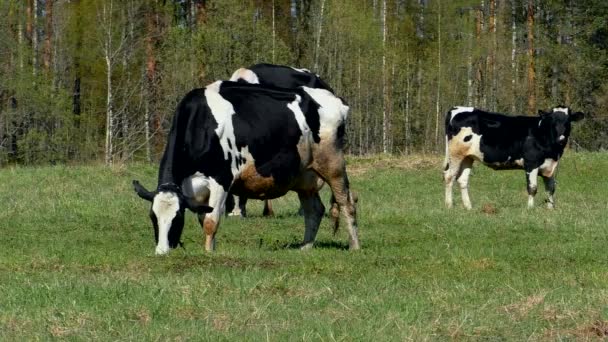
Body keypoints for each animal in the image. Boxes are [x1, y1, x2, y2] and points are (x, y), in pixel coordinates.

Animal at [134, 81, 360, 254]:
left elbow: (210, 221)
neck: (202, 123)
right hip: (304, 176)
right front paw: (211, 248)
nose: (162, 251)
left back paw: (354, 246)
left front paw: (208, 254)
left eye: (177, 217)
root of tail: (334, 99)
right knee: (314, 210)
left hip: (333, 165)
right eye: (153, 217)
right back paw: (305, 247)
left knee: (345, 202)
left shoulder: (221, 178)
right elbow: (203, 218)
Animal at [444, 105, 580, 210]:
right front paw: (530, 208)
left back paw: (468, 207)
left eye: (568, 121)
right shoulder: (531, 163)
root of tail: (456, 108)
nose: (561, 139)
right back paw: (449, 205)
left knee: (462, 180)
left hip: (467, 157)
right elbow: (532, 188)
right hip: (455, 154)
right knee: (449, 176)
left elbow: (551, 189)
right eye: (552, 121)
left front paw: (550, 208)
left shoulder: (550, 166)